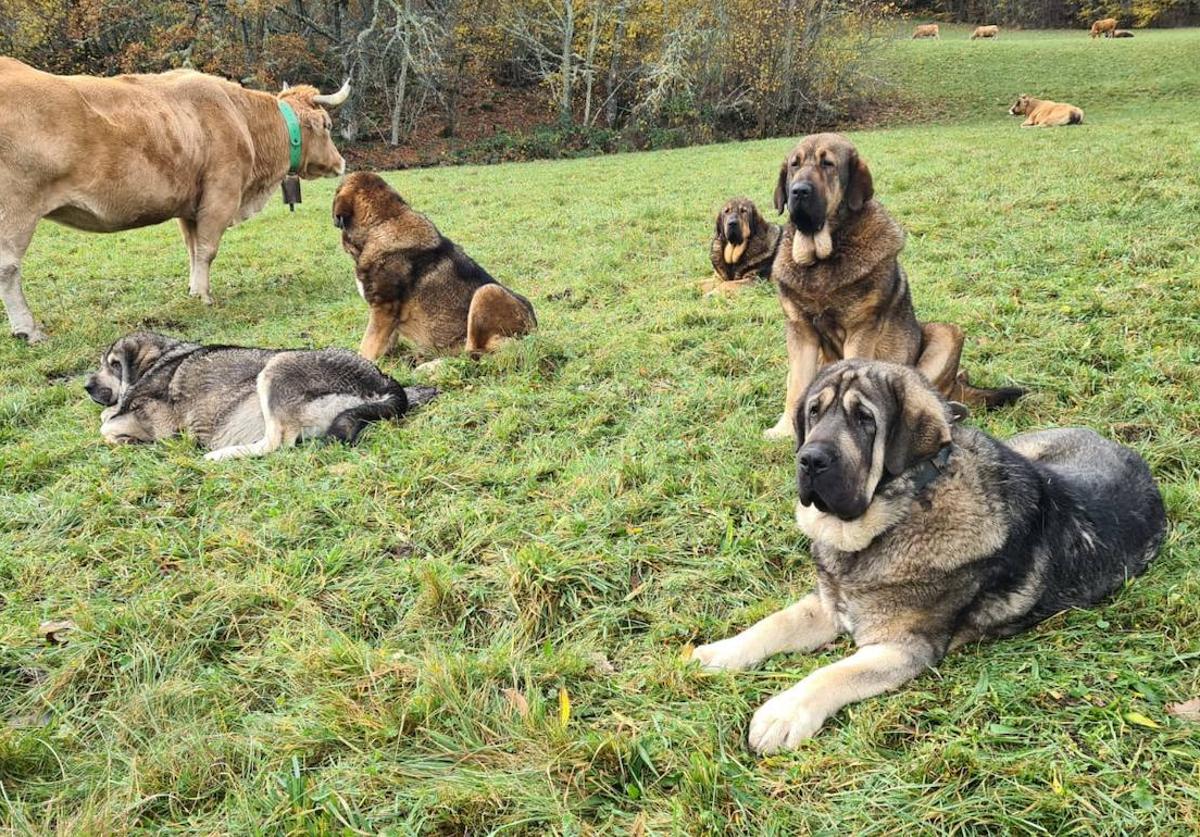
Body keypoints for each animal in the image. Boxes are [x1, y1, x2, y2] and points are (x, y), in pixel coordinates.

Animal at [0, 57, 350, 342]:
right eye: (328, 126)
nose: (342, 162)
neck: (240, 118)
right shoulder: (220, 196)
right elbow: (207, 250)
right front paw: (205, 297)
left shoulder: (191, 206)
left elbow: (193, 250)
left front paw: (194, 291)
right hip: (17, 210)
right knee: (8, 268)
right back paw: (28, 329)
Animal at [87, 330, 439, 460]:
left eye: (111, 365)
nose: (86, 386)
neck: (161, 358)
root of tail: (383, 380)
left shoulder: (157, 423)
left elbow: (106, 424)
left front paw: (123, 436)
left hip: (274, 368)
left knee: (275, 444)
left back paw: (220, 455)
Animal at [328, 171, 535, 359]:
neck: (383, 224)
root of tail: (534, 330)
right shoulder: (387, 317)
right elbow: (385, 343)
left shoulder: (383, 310)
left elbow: (367, 347)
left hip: (487, 291)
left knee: (474, 352)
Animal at [691, 357, 1166, 748]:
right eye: (814, 412)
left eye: (865, 419)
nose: (809, 460)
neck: (898, 515)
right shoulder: (829, 605)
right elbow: (772, 625)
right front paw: (718, 653)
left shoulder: (902, 646)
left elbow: (834, 672)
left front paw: (784, 713)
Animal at [763, 133, 1017, 441]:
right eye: (794, 165)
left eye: (828, 164)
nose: (798, 191)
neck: (823, 258)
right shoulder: (800, 332)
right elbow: (797, 385)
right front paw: (784, 430)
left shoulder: (861, 331)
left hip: (946, 334)